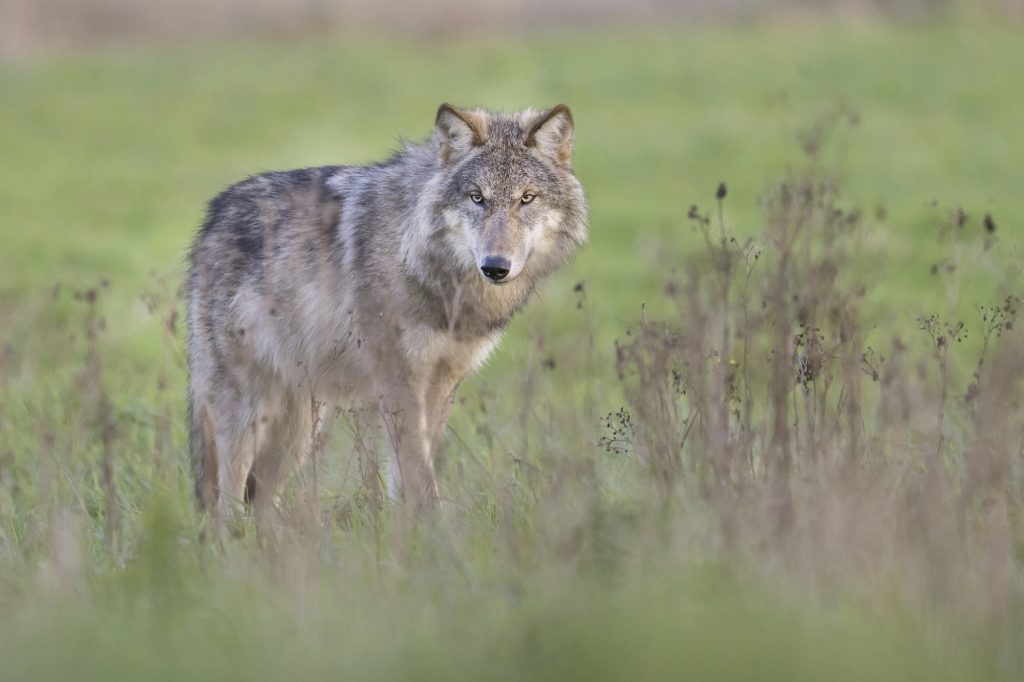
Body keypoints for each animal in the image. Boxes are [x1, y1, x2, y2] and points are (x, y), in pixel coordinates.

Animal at [188, 103, 589, 522]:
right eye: (477, 197)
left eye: (527, 198)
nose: (495, 266)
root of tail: (213, 218)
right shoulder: (398, 379)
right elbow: (416, 471)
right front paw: (428, 529)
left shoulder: (442, 381)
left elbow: (413, 468)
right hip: (246, 410)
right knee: (226, 503)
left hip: (300, 427)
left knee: (262, 503)